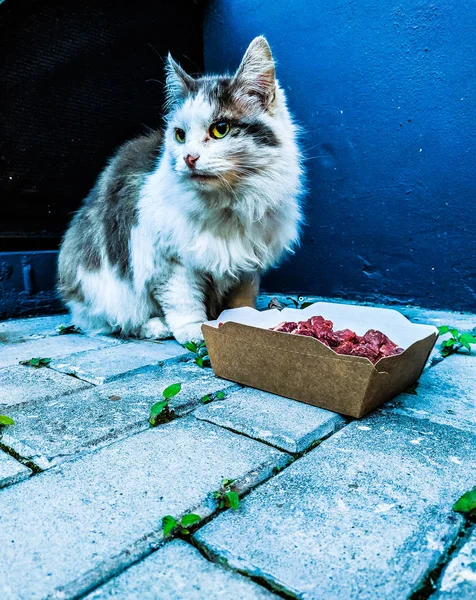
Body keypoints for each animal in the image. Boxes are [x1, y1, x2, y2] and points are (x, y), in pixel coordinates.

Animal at [57, 37, 304, 344]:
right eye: (180, 135)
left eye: (220, 129)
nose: (189, 158)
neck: (229, 202)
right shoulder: (169, 261)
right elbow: (183, 300)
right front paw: (195, 331)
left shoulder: (248, 265)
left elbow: (241, 300)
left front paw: (244, 322)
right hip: (107, 289)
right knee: (120, 321)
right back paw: (156, 327)